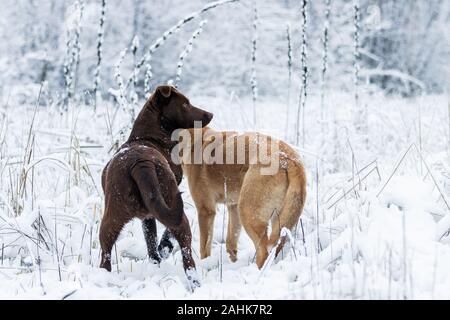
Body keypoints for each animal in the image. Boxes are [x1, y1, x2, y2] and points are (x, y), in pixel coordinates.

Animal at [99, 85, 212, 288]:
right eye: (186, 104)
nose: (210, 114)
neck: (147, 136)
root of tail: (140, 162)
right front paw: (164, 248)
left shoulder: (148, 214)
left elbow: (150, 239)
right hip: (170, 197)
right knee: (185, 246)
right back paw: (193, 281)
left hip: (114, 211)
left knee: (106, 248)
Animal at [176, 127, 306, 270]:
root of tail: (288, 158)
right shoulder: (233, 207)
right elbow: (230, 242)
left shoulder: (205, 211)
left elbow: (204, 249)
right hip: (275, 219)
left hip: (248, 214)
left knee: (263, 252)